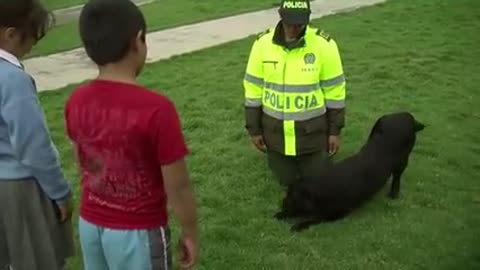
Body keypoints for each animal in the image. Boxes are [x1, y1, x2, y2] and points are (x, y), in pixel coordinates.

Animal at [276, 112, 426, 232]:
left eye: (292, 197)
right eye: (288, 193)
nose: (283, 202)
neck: (323, 189)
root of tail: (407, 116)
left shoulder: (337, 213)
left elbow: (314, 219)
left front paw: (296, 226)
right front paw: (278, 215)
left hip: (404, 157)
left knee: (397, 176)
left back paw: (393, 195)